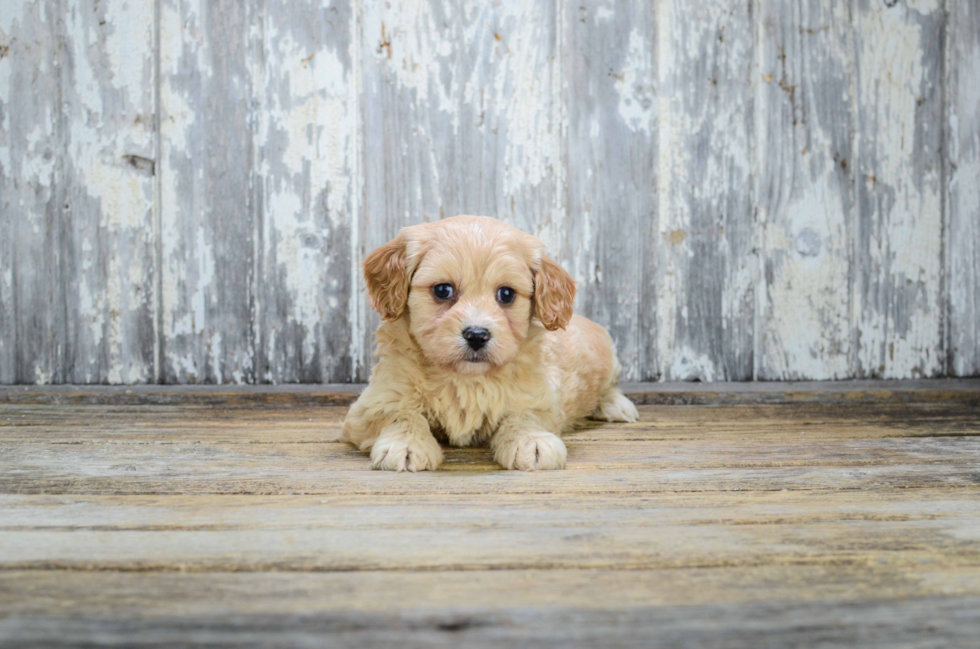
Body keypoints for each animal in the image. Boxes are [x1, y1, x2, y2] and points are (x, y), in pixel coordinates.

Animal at [340, 214, 640, 470]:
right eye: (443, 290)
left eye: (506, 294)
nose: (476, 335)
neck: (466, 378)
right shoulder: (376, 400)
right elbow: (400, 413)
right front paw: (405, 444)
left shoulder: (539, 397)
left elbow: (524, 415)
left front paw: (532, 441)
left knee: (610, 385)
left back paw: (616, 405)